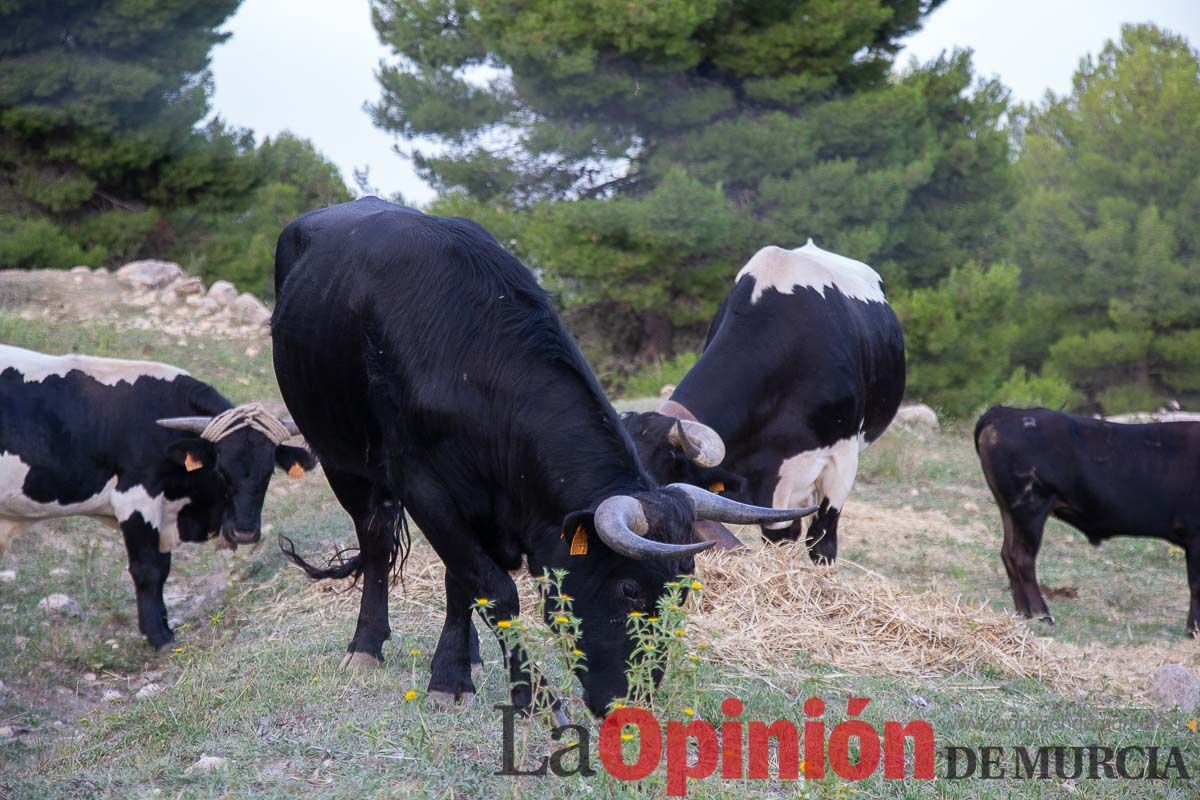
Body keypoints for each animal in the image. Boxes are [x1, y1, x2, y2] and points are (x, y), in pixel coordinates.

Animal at [0, 345, 314, 652]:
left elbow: (162, 567)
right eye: (221, 470)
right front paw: (159, 635)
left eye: (268, 472)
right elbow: (148, 569)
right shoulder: (136, 498)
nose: (245, 533)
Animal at [974, 410, 1200, 633]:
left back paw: (1023, 613)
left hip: (1009, 510)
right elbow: (1196, 584)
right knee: (1022, 558)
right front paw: (1193, 629)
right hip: (1030, 508)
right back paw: (1042, 615)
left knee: (1008, 554)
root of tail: (1006, 412)